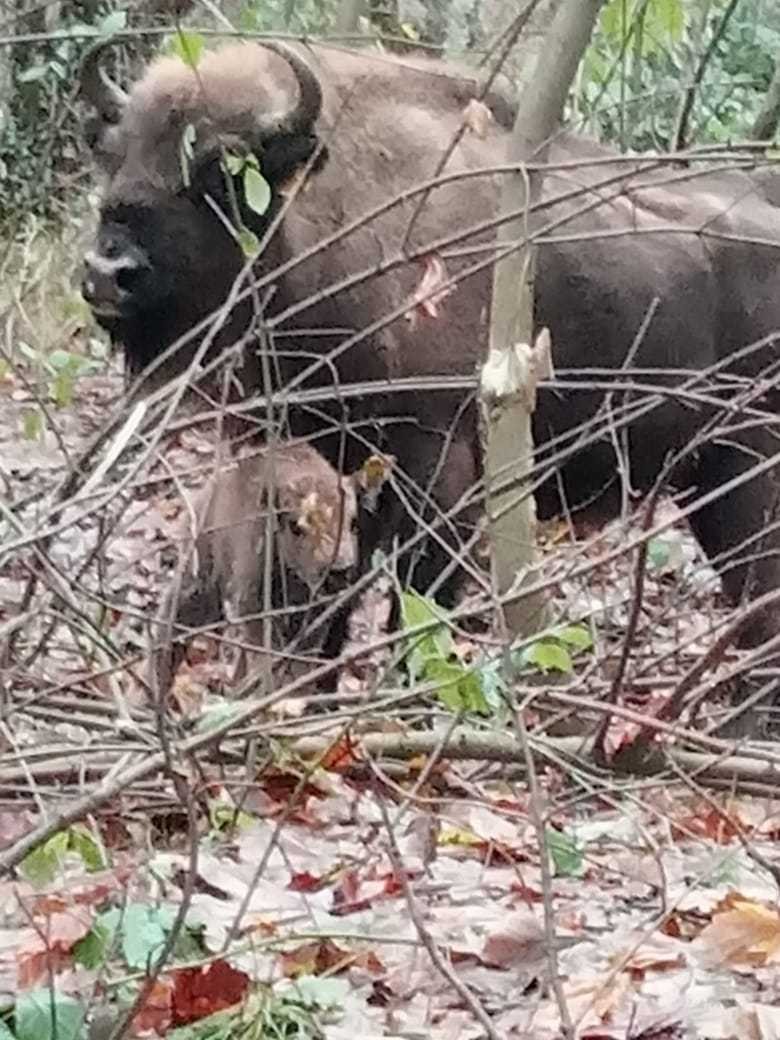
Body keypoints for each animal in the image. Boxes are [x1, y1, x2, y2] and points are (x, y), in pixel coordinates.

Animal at [81, 44, 780, 653]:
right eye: (115, 155)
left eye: (224, 168)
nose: (106, 272)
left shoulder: (440, 470)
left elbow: (415, 602)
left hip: (743, 478)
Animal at [149, 443, 364, 703]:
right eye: (295, 527)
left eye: (353, 522)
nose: (339, 570)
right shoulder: (252, 601)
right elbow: (265, 652)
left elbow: (300, 659)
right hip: (200, 579)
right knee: (173, 619)